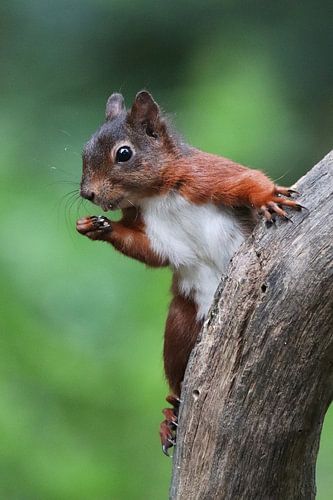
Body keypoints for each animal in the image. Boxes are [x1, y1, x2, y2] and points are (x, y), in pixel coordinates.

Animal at [76, 91, 300, 458]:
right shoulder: (156, 232)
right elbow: (148, 251)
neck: (154, 195)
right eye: (85, 149)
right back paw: (170, 418)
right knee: (180, 381)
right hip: (181, 325)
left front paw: (268, 197)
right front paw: (96, 228)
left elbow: (247, 179)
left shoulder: (207, 175)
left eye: (124, 153)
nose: (87, 194)